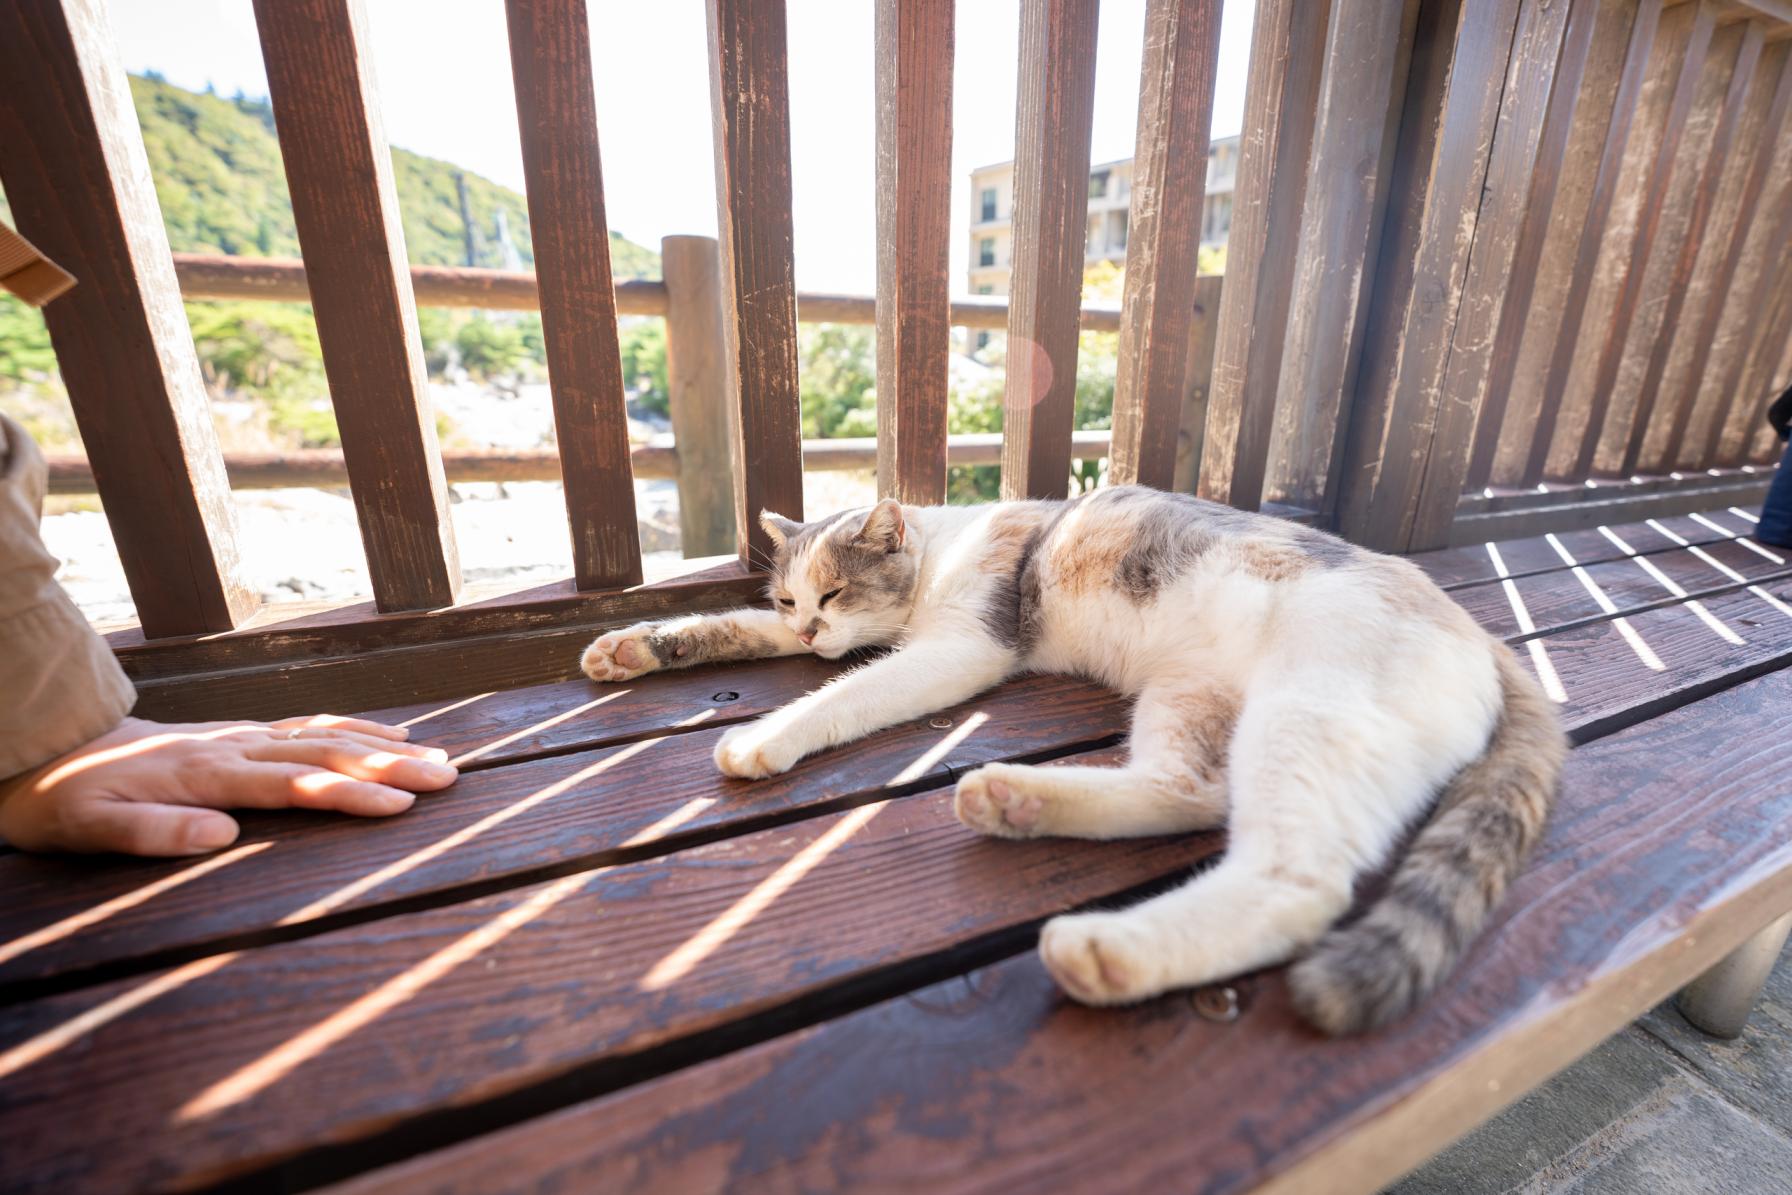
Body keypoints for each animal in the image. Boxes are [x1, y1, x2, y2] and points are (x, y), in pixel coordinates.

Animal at [580, 490, 1562, 1031]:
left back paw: (1109, 949)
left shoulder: (963, 649)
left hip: (1309, 711)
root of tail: (1477, 631)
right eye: (790, 596)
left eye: (839, 588)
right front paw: (634, 646)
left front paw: (763, 734)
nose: (813, 628)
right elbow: (737, 630)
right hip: (1191, 696)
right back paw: (1014, 799)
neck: (943, 546)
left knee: (1297, 879)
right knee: (1190, 789)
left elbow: (845, 693)